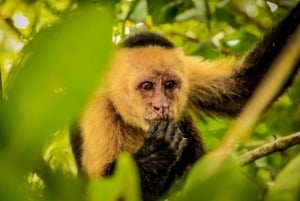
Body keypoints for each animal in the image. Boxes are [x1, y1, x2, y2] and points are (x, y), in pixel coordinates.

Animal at [72, 3, 300, 201]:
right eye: (147, 86)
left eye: (169, 85)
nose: (162, 105)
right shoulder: (99, 108)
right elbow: (106, 191)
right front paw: (159, 148)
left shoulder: (187, 70)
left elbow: (246, 88)